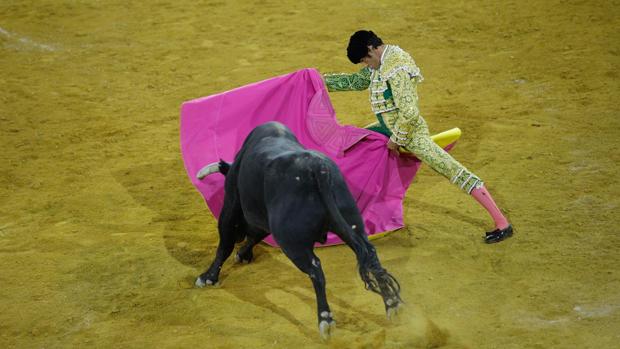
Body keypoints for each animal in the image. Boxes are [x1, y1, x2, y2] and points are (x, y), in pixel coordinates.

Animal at [196, 121, 404, 338]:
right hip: (352, 223)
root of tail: (317, 168)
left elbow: (225, 244)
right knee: (369, 253)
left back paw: (325, 319)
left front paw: (208, 277)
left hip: (291, 242)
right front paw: (243, 254)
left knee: (315, 269)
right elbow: (256, 234)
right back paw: (392, 304)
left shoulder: (231, 205)